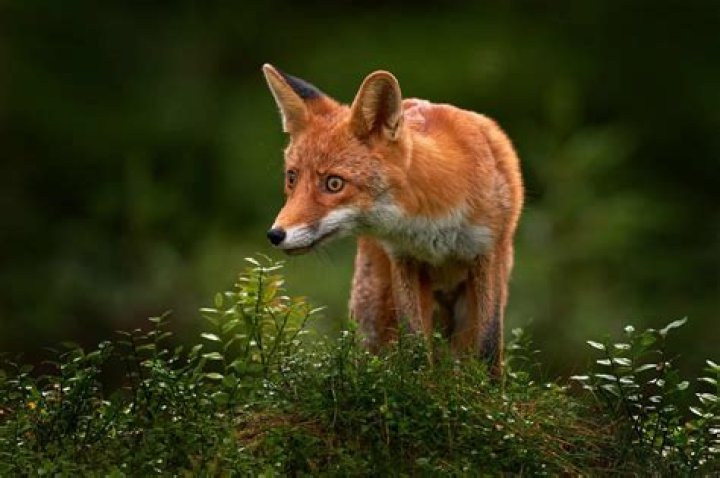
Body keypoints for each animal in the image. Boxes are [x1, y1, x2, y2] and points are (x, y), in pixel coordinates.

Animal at [262, 64, 523, 374]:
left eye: (334, 184)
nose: (275, 234)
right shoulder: (404, 260)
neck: (433, 220)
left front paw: (488, 387)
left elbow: (488, 346)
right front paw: (420, 384)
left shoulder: (487, 255)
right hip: (374, 311)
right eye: (292, 178)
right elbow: (416, 346)